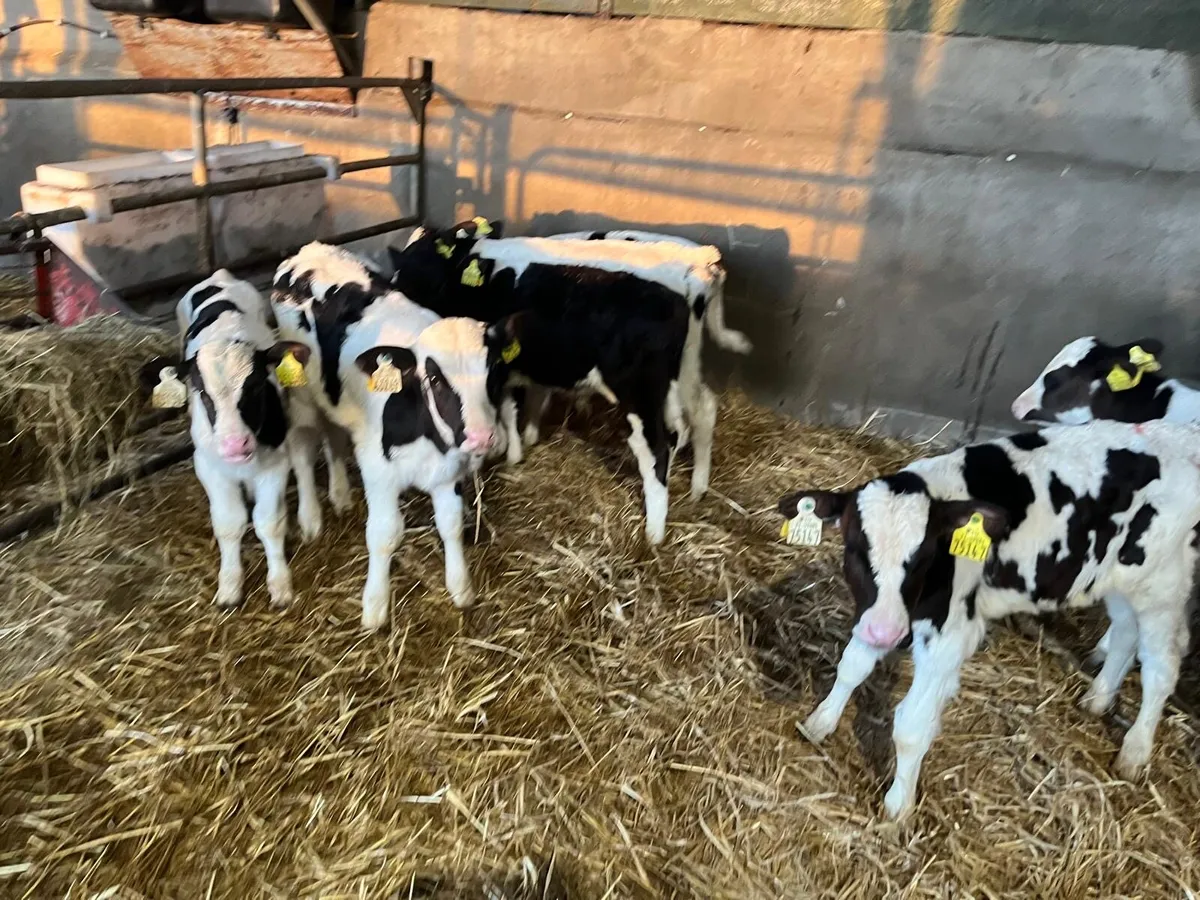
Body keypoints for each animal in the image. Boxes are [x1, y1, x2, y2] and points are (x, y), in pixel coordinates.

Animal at [139, 269, 351, 611]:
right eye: (201, 392)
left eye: (255, 387)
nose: (235, 445)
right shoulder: (208, 465)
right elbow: (228, 523)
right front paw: (229, 586)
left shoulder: (275, 463)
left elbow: (269, 522)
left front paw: (279, 584)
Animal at [271, 242, 504, 630]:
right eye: (435, 378)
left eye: (493, 371)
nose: (482, 436)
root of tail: (309, 251)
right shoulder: (379, 472)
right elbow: (384, 534)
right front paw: (375, 606)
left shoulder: (449, 471)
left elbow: (452, 524)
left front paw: (460, 587)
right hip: (301, 394)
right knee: (303, 449)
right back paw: (311, 519)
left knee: (334, 437)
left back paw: (340, 493)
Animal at [387, 221, 752, 545]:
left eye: (415, 266)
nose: (394, 292)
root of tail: (703, 259)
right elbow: (531, 397)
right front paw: (526, 438)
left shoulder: (499, 361)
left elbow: (506, 406)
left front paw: (510, 451)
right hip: (685, 369)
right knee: (701, 412)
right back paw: (697, 488)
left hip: (642, 390)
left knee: (660, 446)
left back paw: (655, 533)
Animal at [777, 420, 1200, 819]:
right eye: (853, 548)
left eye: (924, 556)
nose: (886, 632)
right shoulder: (874, 613)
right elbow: (851, 666)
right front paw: (820, 722)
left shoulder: (949, 636)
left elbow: (911, 726)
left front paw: (899, 806)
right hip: (1117, 576)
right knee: (1126, 631)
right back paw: (1098, 699)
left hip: (1163, 585)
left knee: (1161, 667)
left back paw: (1135, 751)